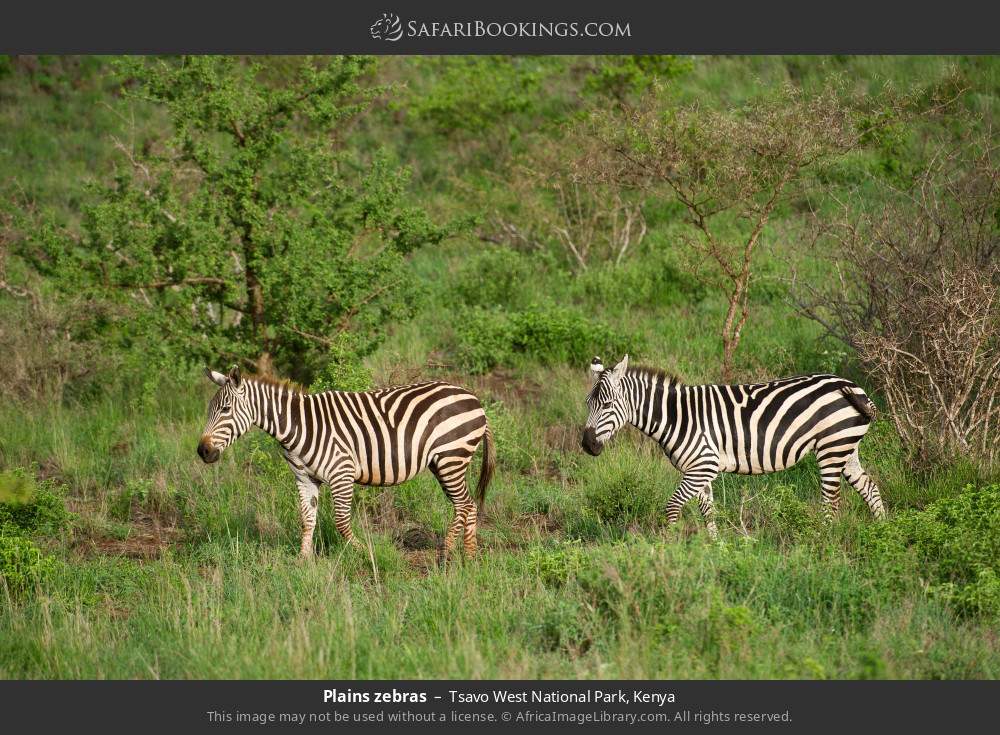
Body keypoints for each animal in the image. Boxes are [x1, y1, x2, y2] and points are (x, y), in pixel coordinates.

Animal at [197, 365, 496, 560]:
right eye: (209, 410)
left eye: (225, 409)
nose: (202, 451)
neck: (298, 426)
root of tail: (473, 397)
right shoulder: (304, 478)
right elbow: (307, 520)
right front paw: (303, 562)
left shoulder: (342, 474)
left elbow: (341, 523)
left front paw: (366, 553)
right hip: (445, 462)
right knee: (468, 504)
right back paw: (469, 556)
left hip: (451, 457)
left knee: (463, 504)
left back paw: (446, 554)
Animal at [581, 355, 885, 537]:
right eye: (588, 404)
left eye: (607, 405)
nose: (587, 446)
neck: (676, 415)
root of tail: (854, 387)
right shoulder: (699, 470)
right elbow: (709, 513)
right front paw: (714, 550)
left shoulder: (703, 466)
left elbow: (672, 507)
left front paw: (670, 548)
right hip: (846, 447)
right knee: (870, 488)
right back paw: (883, 533)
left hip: (831, 448)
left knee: (831, 502)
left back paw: (822, 542)